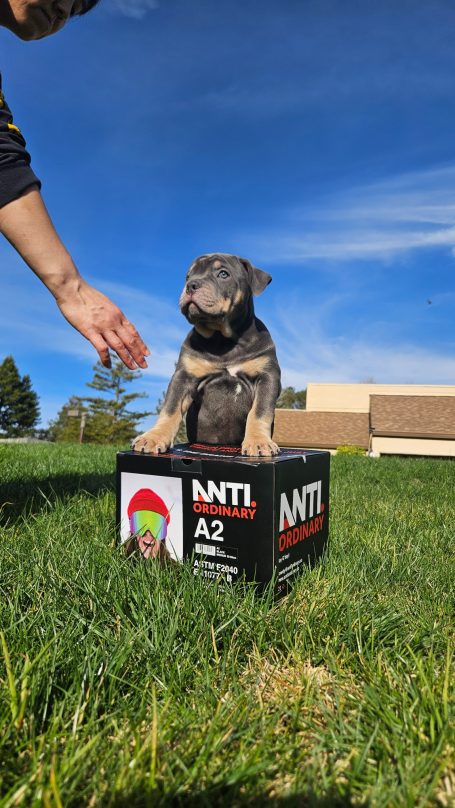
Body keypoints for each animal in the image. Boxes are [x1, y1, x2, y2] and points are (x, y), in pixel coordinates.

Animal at [132, 252, 282, 454]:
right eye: (188, 276)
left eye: (223, 274)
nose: (191, 285)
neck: (222, 339)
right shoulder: (183, 377)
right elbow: (170, 408)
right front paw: (153, 437)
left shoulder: (267, 376)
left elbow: (260, 411)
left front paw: (259, 442)